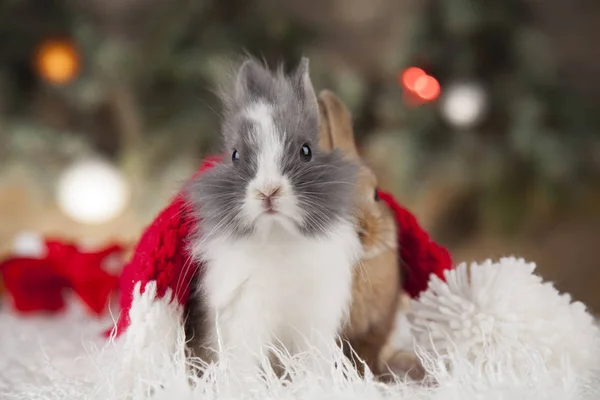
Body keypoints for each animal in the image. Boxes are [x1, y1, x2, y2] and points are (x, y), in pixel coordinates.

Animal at [183, 57, 360, 376]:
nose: (268, 191)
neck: (277, 236)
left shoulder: (313, 322)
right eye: (235, 155)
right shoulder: (244, 318)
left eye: (306, 150)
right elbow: (246, 363)